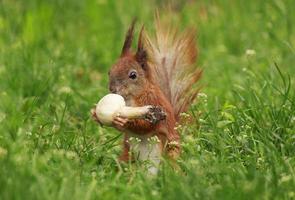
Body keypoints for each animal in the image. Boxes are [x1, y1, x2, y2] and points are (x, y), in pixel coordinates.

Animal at [92, 18, 204, 162]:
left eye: (133, 75)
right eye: (109, 71)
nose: (112, 89)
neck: (131, 97)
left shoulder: (153, 99)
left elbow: (146, 126)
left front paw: (123, 121)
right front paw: (94, 114)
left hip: (166, 146)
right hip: (128, 152)